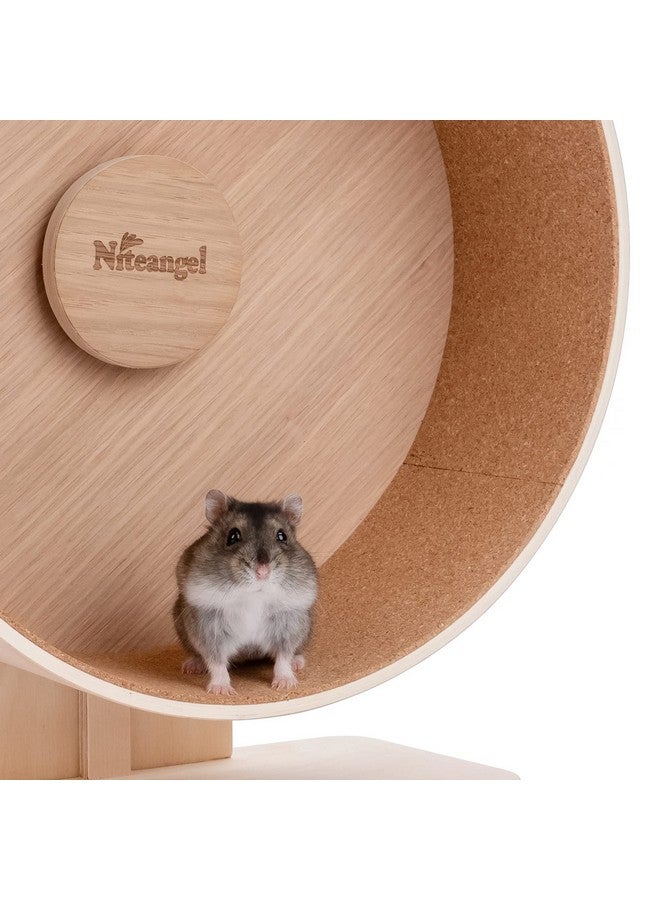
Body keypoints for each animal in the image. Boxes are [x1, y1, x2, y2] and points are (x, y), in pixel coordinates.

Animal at [173, 490, 318, 696]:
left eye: (282, 536)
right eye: (233, 536)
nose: (262, 573)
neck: (253, 596)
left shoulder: (288, 625)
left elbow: (283, 657)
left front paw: (285, 685)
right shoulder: (208, 629)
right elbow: (216, 661)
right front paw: (222, 691)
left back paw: (297, 663)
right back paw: (193, 666)